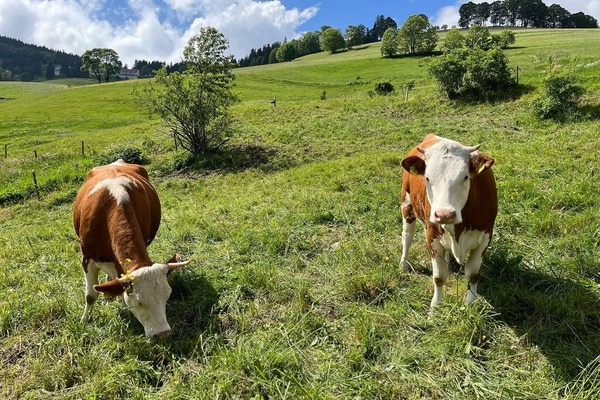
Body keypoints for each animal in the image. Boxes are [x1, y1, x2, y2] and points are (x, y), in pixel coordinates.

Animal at [73, 159, 190, 338]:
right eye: (139, 302)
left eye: (167, 296)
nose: (163, 333)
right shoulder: (87, 259)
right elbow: (90, 296)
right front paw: (85, 320)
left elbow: (121, 287)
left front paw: (123, 310)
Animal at [398, 134, 496, 306]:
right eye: (427, 178)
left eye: (465, 177)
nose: (445, 214)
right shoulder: (432, 236)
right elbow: (438, 277)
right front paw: (436, 306)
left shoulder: (485, 236)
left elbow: (473, 274)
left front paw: (471, 303)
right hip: (407, 203)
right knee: (407, 237)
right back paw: (403, 264)